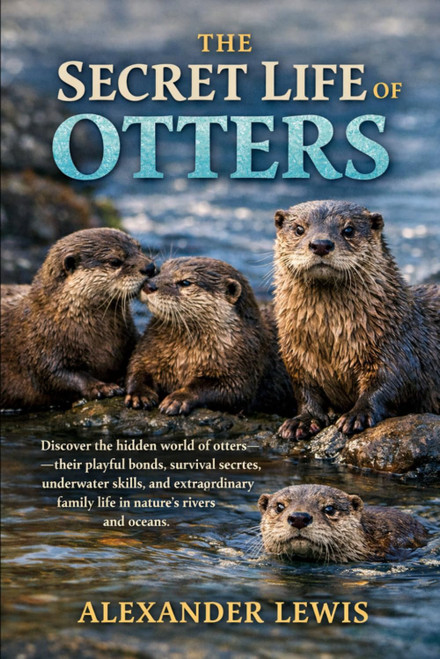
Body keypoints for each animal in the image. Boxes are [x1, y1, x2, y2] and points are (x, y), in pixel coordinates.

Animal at [1, 228, 156, 409]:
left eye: (139, 248)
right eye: (115, 261)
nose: (150, 267)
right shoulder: (40, 348)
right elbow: (55, 375)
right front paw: (102, 387)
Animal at [125, 257, 294, 415]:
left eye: (185, 282)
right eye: (160, 271)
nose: (148, 285)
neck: (184, 357)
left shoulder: (244, 365)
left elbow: (230, 390)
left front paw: (177, 399)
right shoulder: (148, 350)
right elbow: (137, 368)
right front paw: (139, 394)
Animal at [273, 200, 440, 440]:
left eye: (349, 230)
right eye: (299, 229)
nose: (321, 244)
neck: (330, 342)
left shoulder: (395, 348)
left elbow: (389, 384)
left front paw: (356, 415)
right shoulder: (297, 358)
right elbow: (305, 391)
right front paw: (303, 420)